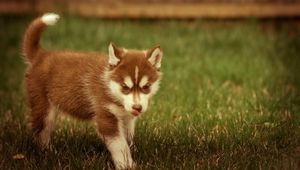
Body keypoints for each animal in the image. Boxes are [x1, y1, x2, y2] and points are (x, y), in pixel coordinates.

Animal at [22, 12, 164, 169]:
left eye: (146, 87)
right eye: (125, 87)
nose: (137, 107)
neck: (110, 87)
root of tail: (41, 55)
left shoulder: (126, 118)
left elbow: (127, 138)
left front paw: (133, 153)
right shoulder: (105, 116)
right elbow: (120, 144)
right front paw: (126, 164)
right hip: (43, 107)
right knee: (41, 132)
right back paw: (48, 154)